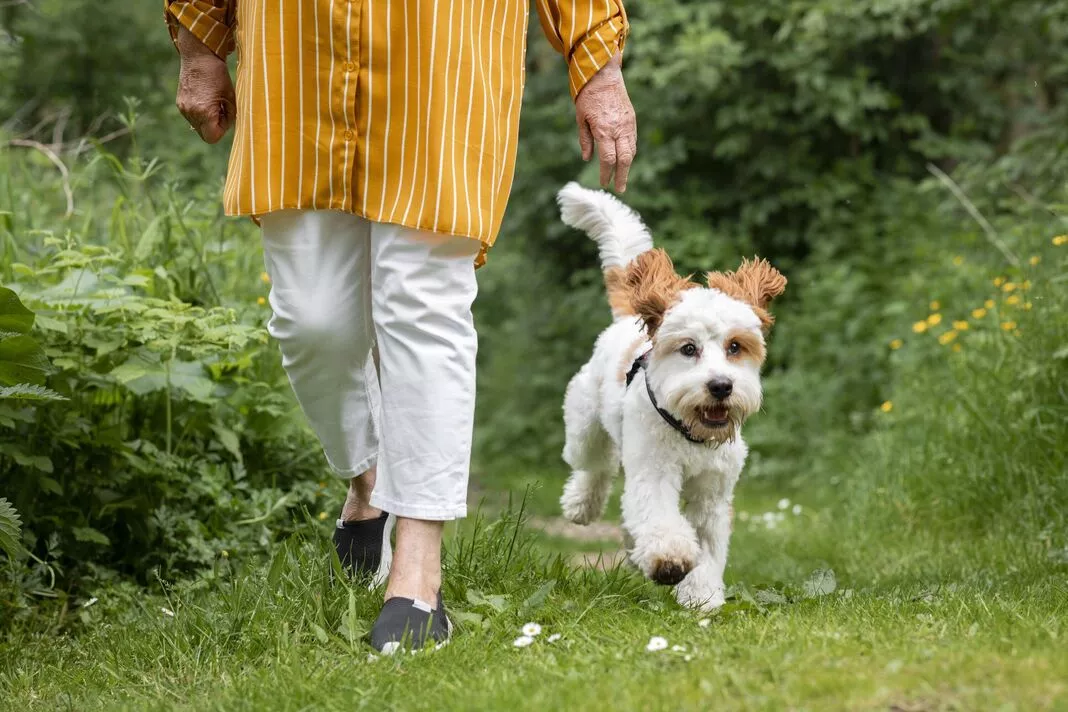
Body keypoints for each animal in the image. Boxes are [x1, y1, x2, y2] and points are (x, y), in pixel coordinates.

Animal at [559, 183, 786, 614]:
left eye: (735, 347)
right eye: (688, 348)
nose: (720, 386)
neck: (692, 433)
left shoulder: (713, 490)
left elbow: (708, 540)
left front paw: (702, 592)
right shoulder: (654, 470)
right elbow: (659, 515)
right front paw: (670, 559)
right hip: (584, 422)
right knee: (594, 465)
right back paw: (583, 504)